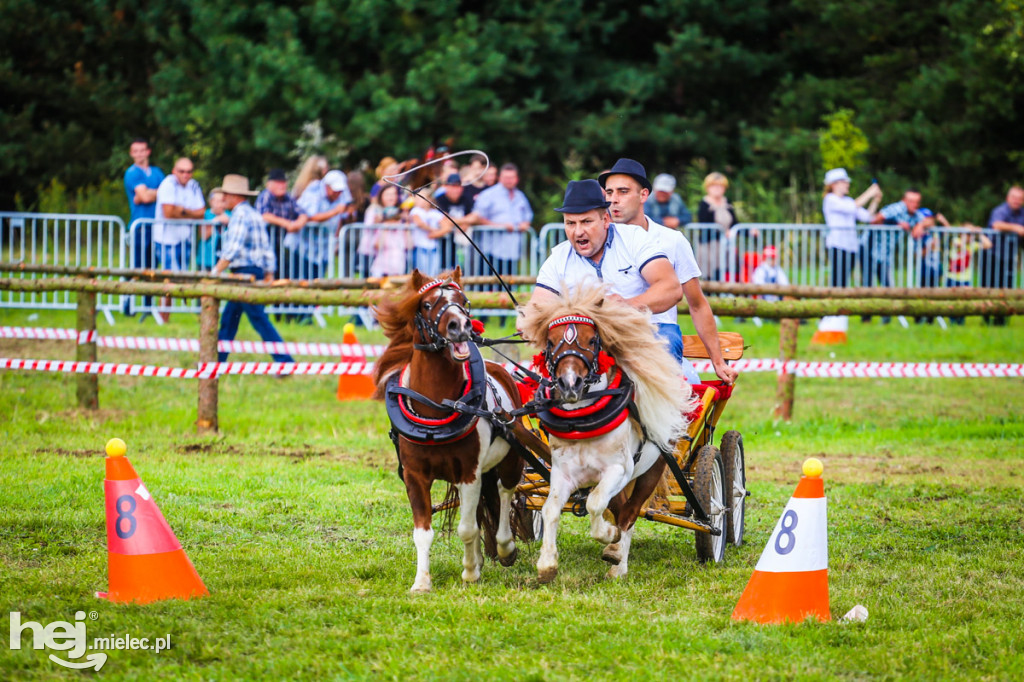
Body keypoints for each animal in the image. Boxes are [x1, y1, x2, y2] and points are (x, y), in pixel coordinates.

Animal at [372, 266, 528, 589]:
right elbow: (423, 532)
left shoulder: (469, 473)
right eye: (427, 304)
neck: (436, 407)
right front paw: (421, 582)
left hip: (510, 459)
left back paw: (504, 548)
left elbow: (466, 528)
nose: (461, 326)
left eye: (463, 300)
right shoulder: (415, 476)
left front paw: (469, 572)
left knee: (505, 493)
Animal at [520, 280, 696, 577]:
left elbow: (595, 503)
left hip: (650, 470)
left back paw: (618, 560)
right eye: (551, 343)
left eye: (592, 340)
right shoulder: (563, 473)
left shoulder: (617, 469)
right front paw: (547, 562)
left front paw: (609, 537)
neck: (580, 422)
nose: (570, 384)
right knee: (621, 508)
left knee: (631, 512)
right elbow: (550, 508)